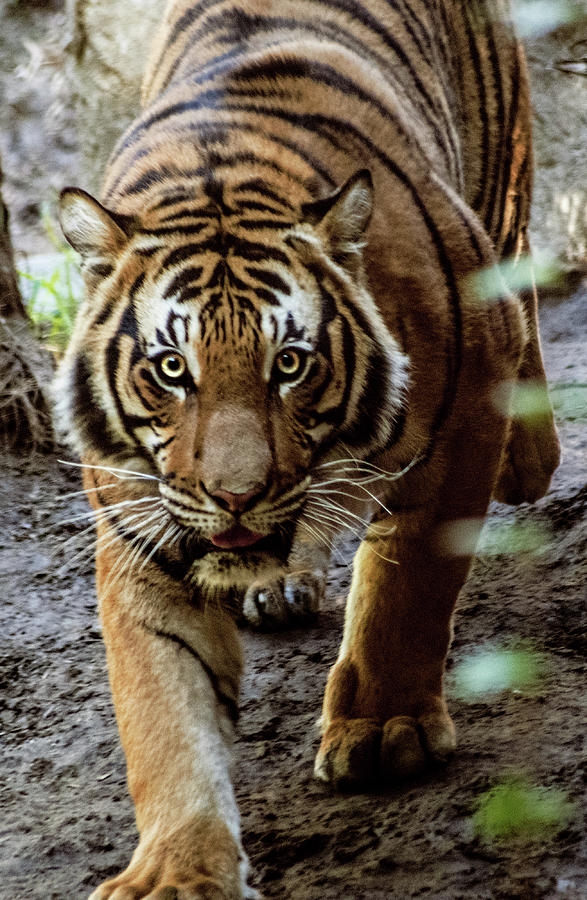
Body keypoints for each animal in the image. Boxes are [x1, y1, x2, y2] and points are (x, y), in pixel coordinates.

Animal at [55, 0, 560, 896]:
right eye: (172, 368)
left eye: (288, 363)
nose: (235, 497)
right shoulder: (141, 522)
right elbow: (162, 705)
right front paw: (175, 868)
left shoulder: (465, 404)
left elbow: (407, 584)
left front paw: (383, 728)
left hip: (499, 189)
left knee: (519, 274)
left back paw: (529, 454)